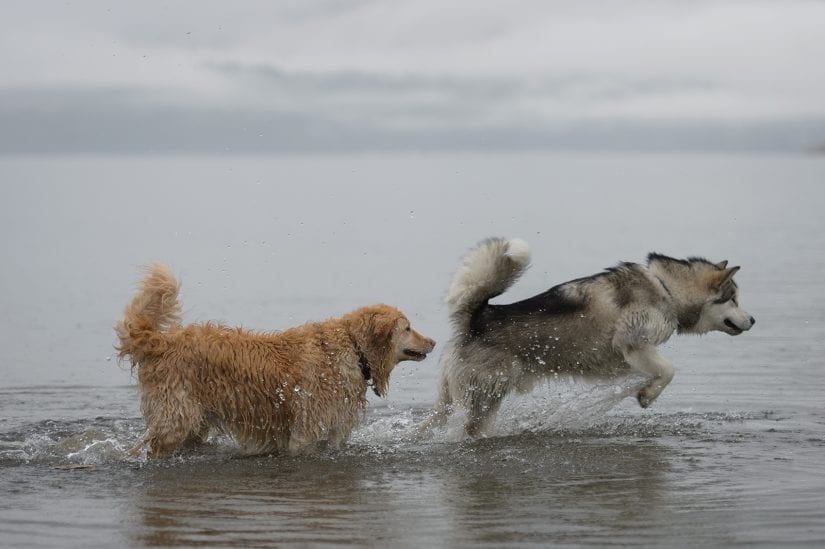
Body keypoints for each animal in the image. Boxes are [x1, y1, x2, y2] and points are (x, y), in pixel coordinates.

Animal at [418, 238, 752, 434]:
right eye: (734, 299)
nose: (753, 320)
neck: (665, 287)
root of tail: (477, 319)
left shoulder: (634, 353)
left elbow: (661, 370)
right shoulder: (632, 343)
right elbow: (669, 370)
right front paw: (647, 394)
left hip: (447, 399)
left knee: (434, 420)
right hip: (486, 399)